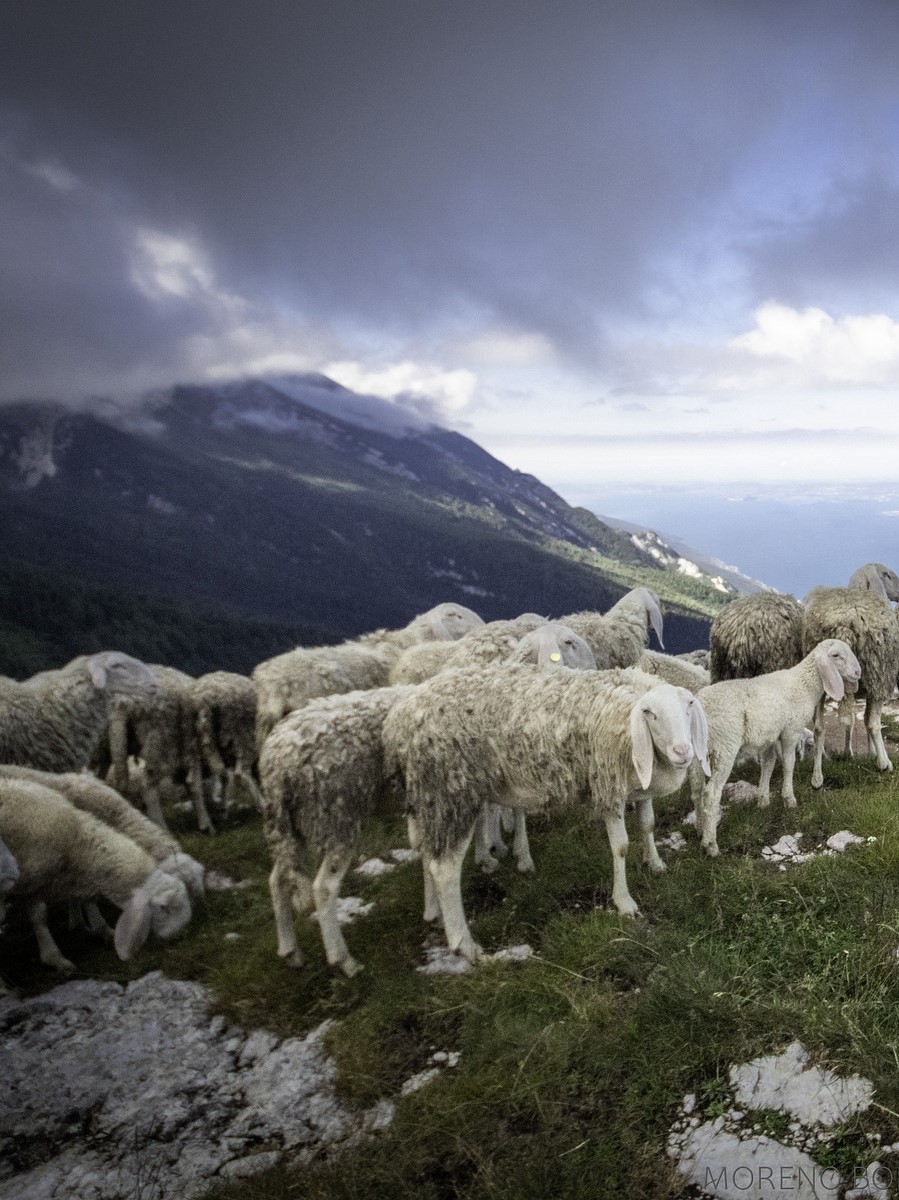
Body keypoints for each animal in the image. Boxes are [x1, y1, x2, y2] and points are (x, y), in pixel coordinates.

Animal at [381, 662, 710, 960]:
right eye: (650, 714)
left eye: (689, 707)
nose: (683, 752)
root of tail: (400, 717)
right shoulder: (608, 787)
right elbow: (620, 847)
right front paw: (624, 902)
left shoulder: (639, 787)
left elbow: (648, 824)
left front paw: (655, 863)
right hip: (451, 790)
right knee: (445, 868)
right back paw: (465, 944)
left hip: (430, 798)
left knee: (428, 852)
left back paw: (433, 912)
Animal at [691, 638, 859, 854]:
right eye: (836, 655)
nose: (858, 673)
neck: (804, 684)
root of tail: (700, 706)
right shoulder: (791, 732)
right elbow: (788, 764)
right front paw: (789, 799)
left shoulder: (770, 737)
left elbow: (768, 766)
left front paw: (763, 800)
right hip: (724, 747)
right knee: (711, 794)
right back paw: (711, 845)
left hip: (697, 751)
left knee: (696, 790)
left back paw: (700, 830)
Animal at [801, 588, 897, 777]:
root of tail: (845, 621)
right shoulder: (874, 686)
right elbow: (867, 721)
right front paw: (875, 756)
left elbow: (853, 720)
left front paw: (853, 752)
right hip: (878, 673)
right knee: (874, 723)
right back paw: (885, 763)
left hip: (820, 679)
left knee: (818, 727)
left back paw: (817, 773)